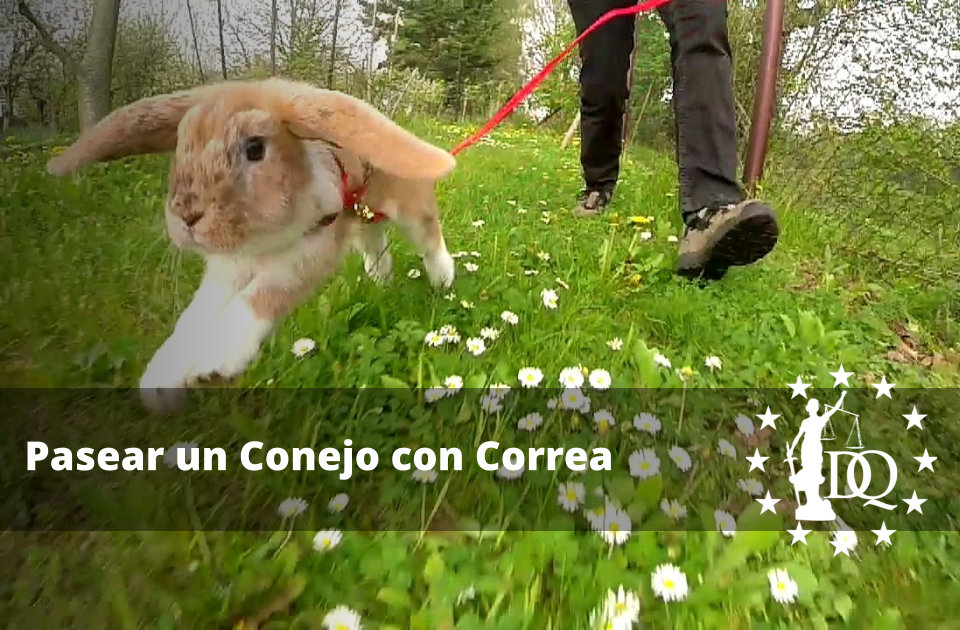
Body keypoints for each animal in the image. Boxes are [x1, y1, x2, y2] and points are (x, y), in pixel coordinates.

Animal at [47, 77, 458, 414]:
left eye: (255, 148)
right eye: (181, 146)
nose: (187, 216)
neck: (260, 240)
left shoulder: (312, 247)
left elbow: (264, 293)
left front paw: (216, 359)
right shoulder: (227, 270)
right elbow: (194, 317)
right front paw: (162, 382)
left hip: (408, 206)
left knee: (429, 239)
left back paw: (444, 280)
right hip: (362, 218)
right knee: (376, 247)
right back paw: (381, 283)